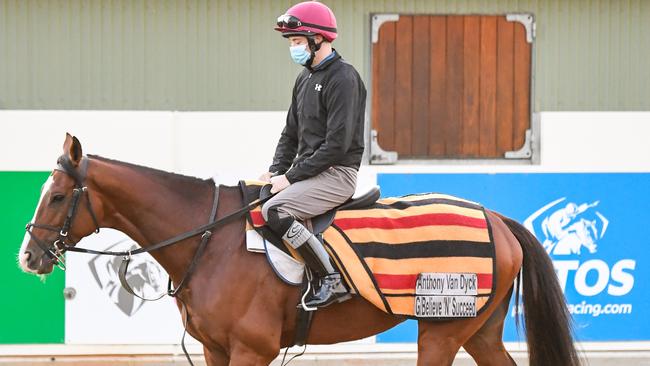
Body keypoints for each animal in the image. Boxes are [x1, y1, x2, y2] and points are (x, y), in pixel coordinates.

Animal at [17, 135, 580, 366]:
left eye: (59, 196)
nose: (28, 256)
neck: (208, 239)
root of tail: (496, 219)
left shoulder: (251, 350)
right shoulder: (216, 350)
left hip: (441, 335)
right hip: (477, 333)